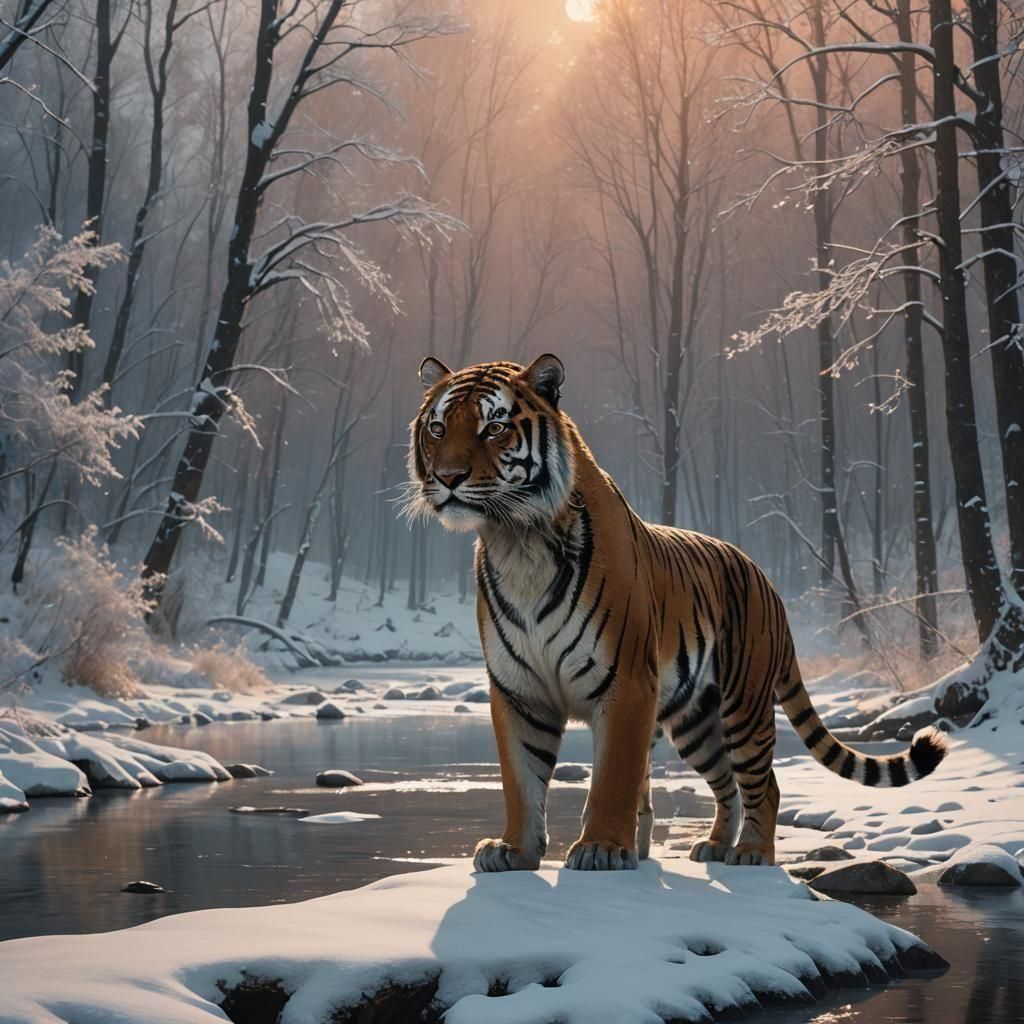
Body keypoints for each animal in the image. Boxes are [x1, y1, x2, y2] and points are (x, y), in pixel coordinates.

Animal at [406, 353, 948, 871]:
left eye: (494, 427)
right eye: (439, 428)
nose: (448, 479)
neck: (518, 539)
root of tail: (765, 578)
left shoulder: (626, 682)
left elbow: (613, 779)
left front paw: (602, 849)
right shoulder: (519, 690)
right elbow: (522, 779)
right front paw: (513, 851)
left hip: (744, 705)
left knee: (764, 785)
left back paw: (752, 853)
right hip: (696, 723)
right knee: (727, 783)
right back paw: (714, 846)